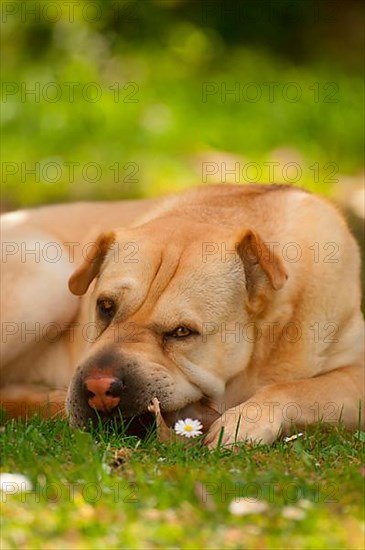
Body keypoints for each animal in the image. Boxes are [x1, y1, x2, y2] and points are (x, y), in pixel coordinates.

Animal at [1, 187, 362, 448]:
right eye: (104, 306)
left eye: (181, 332)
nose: (99, 387)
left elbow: (296, 389)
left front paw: (245, 420)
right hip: (47, 272)